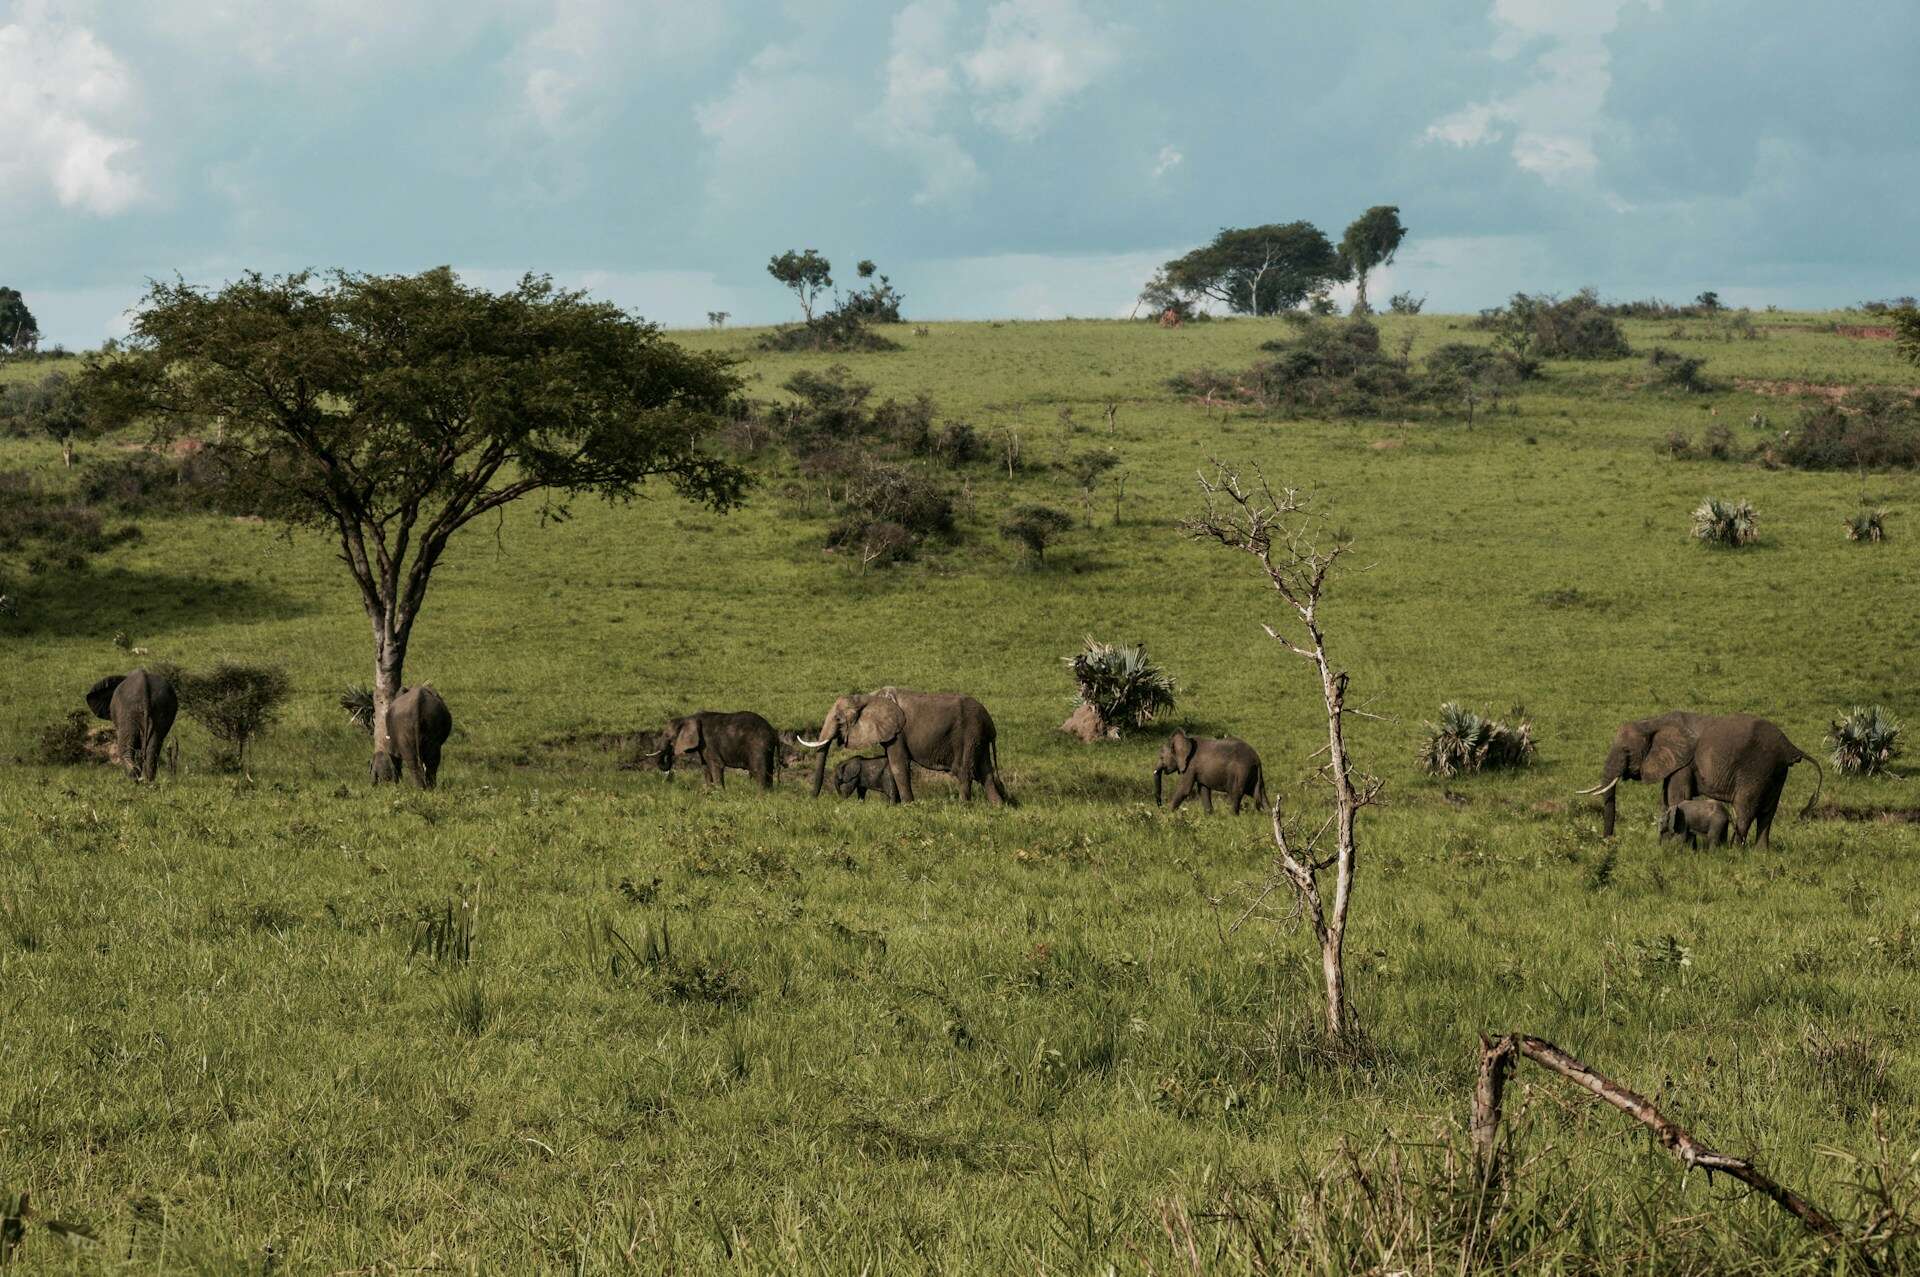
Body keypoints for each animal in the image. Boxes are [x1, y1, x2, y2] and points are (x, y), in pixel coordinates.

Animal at [797, 688, 1008, 805]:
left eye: (838, 719)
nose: (812, 799)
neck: (868, 697)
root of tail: (991, 724)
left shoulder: (898, 732)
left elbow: (898, 764)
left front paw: (907, 805)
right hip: (979, 739)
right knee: (985, 773)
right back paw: (998, 807)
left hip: (969, 734)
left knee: (965, 772)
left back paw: (964, 806)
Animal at [1578, 710, 1823, 850]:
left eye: (1627, 751)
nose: (1608, 843)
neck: (1652, 722)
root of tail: (1789, 746)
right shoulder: (1673, 764)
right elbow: (1666, 799)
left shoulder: (1684, 763)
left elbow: (1677, 797)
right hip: (1776, 772)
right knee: (1768, 813)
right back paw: (1761, 853)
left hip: (1759, 768)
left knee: (1745, 809)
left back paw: (1734, 850)